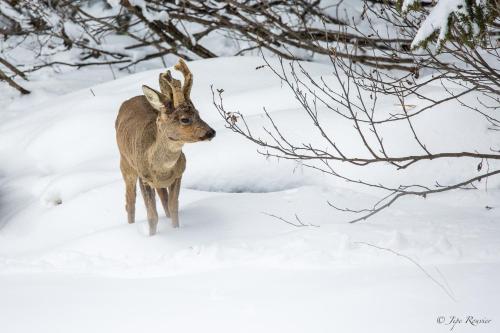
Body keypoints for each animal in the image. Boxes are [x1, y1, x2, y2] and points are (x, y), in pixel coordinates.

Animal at [115, 59, 215, 236]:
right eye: (184, 119)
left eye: (198, 113)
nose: (211, 132)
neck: (162, 169)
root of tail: (130, 99)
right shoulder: (144, 177)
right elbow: (152, 216)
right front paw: (152, 236)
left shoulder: (178, 174)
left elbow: (173, 207)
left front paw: (176, 229)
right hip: (126, 164)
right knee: (130, 202)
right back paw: (130, 225)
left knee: (163, 200)